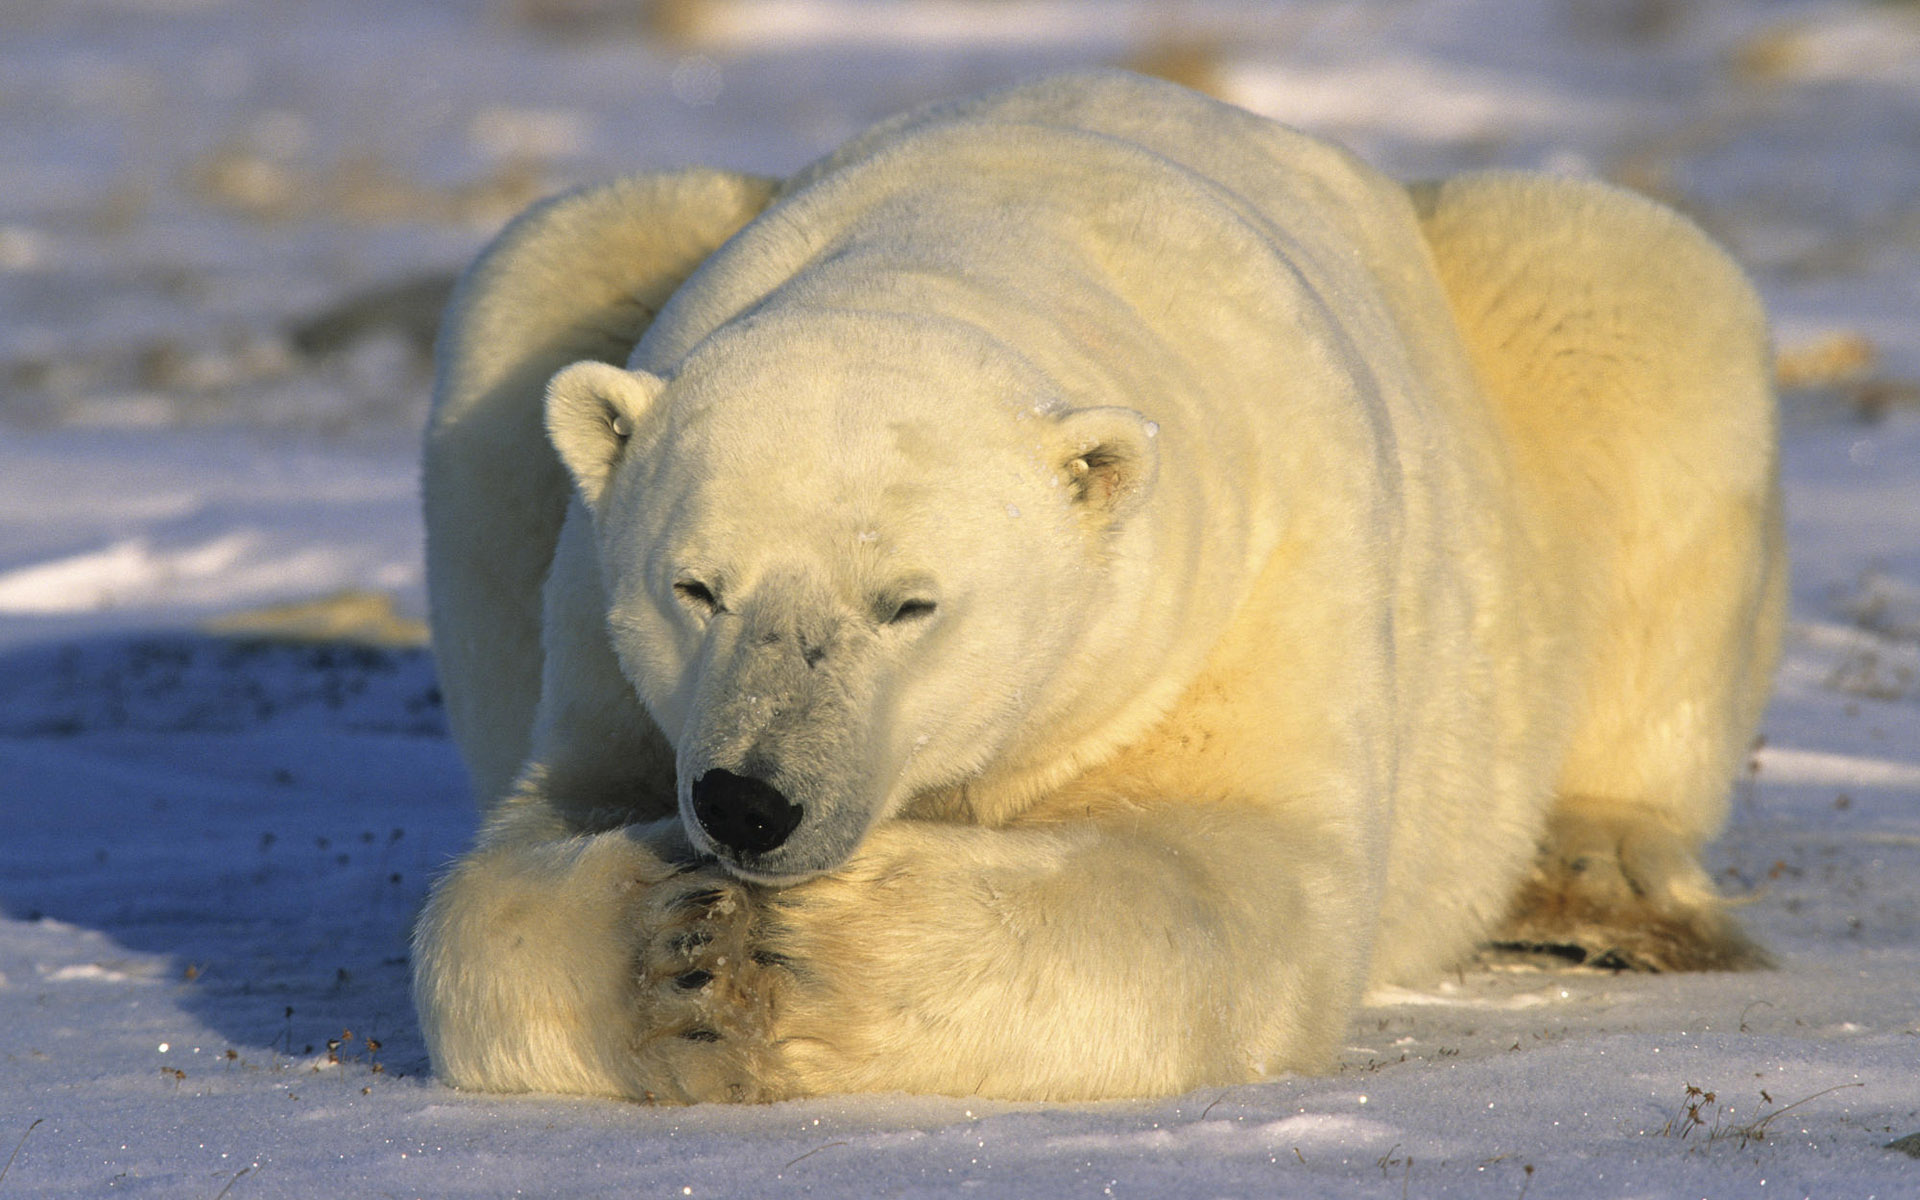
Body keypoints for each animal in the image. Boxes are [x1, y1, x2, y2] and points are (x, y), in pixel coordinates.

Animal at [416, 72, 1781, 1105]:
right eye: (696, 586)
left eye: (907, 604)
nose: (751, 803)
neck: (979, 237)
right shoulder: (609, 660)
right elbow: (518, 862)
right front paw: (675, 946)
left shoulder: (1254, 576)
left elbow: (1239, 878)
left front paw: (797, 947)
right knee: (538, 276)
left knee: (1642, 303)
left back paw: (1604, 874)